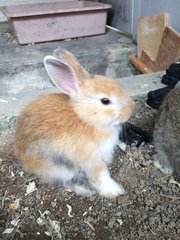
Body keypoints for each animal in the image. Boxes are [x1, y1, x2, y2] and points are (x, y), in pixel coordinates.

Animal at [14, 48, 134, 197]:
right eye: (105, 101)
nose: (131, 109)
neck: (86, 119)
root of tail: (22, 158)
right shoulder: (91, 159)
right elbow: (101, 175)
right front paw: (115, 191)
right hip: (59, 167)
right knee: (64, 181)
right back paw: (85, 190)